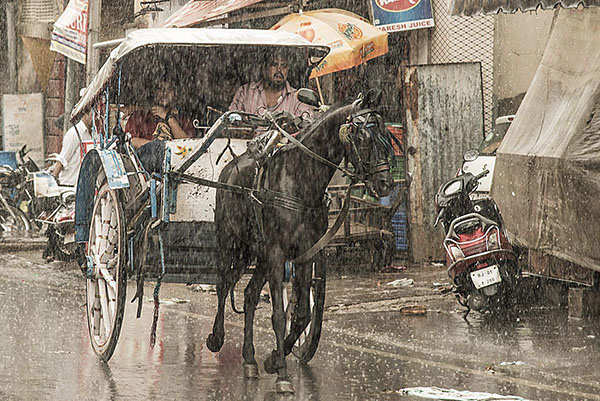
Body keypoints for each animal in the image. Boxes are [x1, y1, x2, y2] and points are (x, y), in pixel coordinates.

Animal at [206, 90, 394, 390]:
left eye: (386, 134)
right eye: (363, 135)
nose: (386, 183)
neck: (299, 179)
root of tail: (232, 166)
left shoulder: (306, 253)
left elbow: (303, 313)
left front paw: (274, 359)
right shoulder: (277, 253)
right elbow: (279, 315)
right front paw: (282, 375)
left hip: (259, 255)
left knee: (248, 295)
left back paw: (249, 359)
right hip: (233, 244)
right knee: (223, 285)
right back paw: (216, 337)